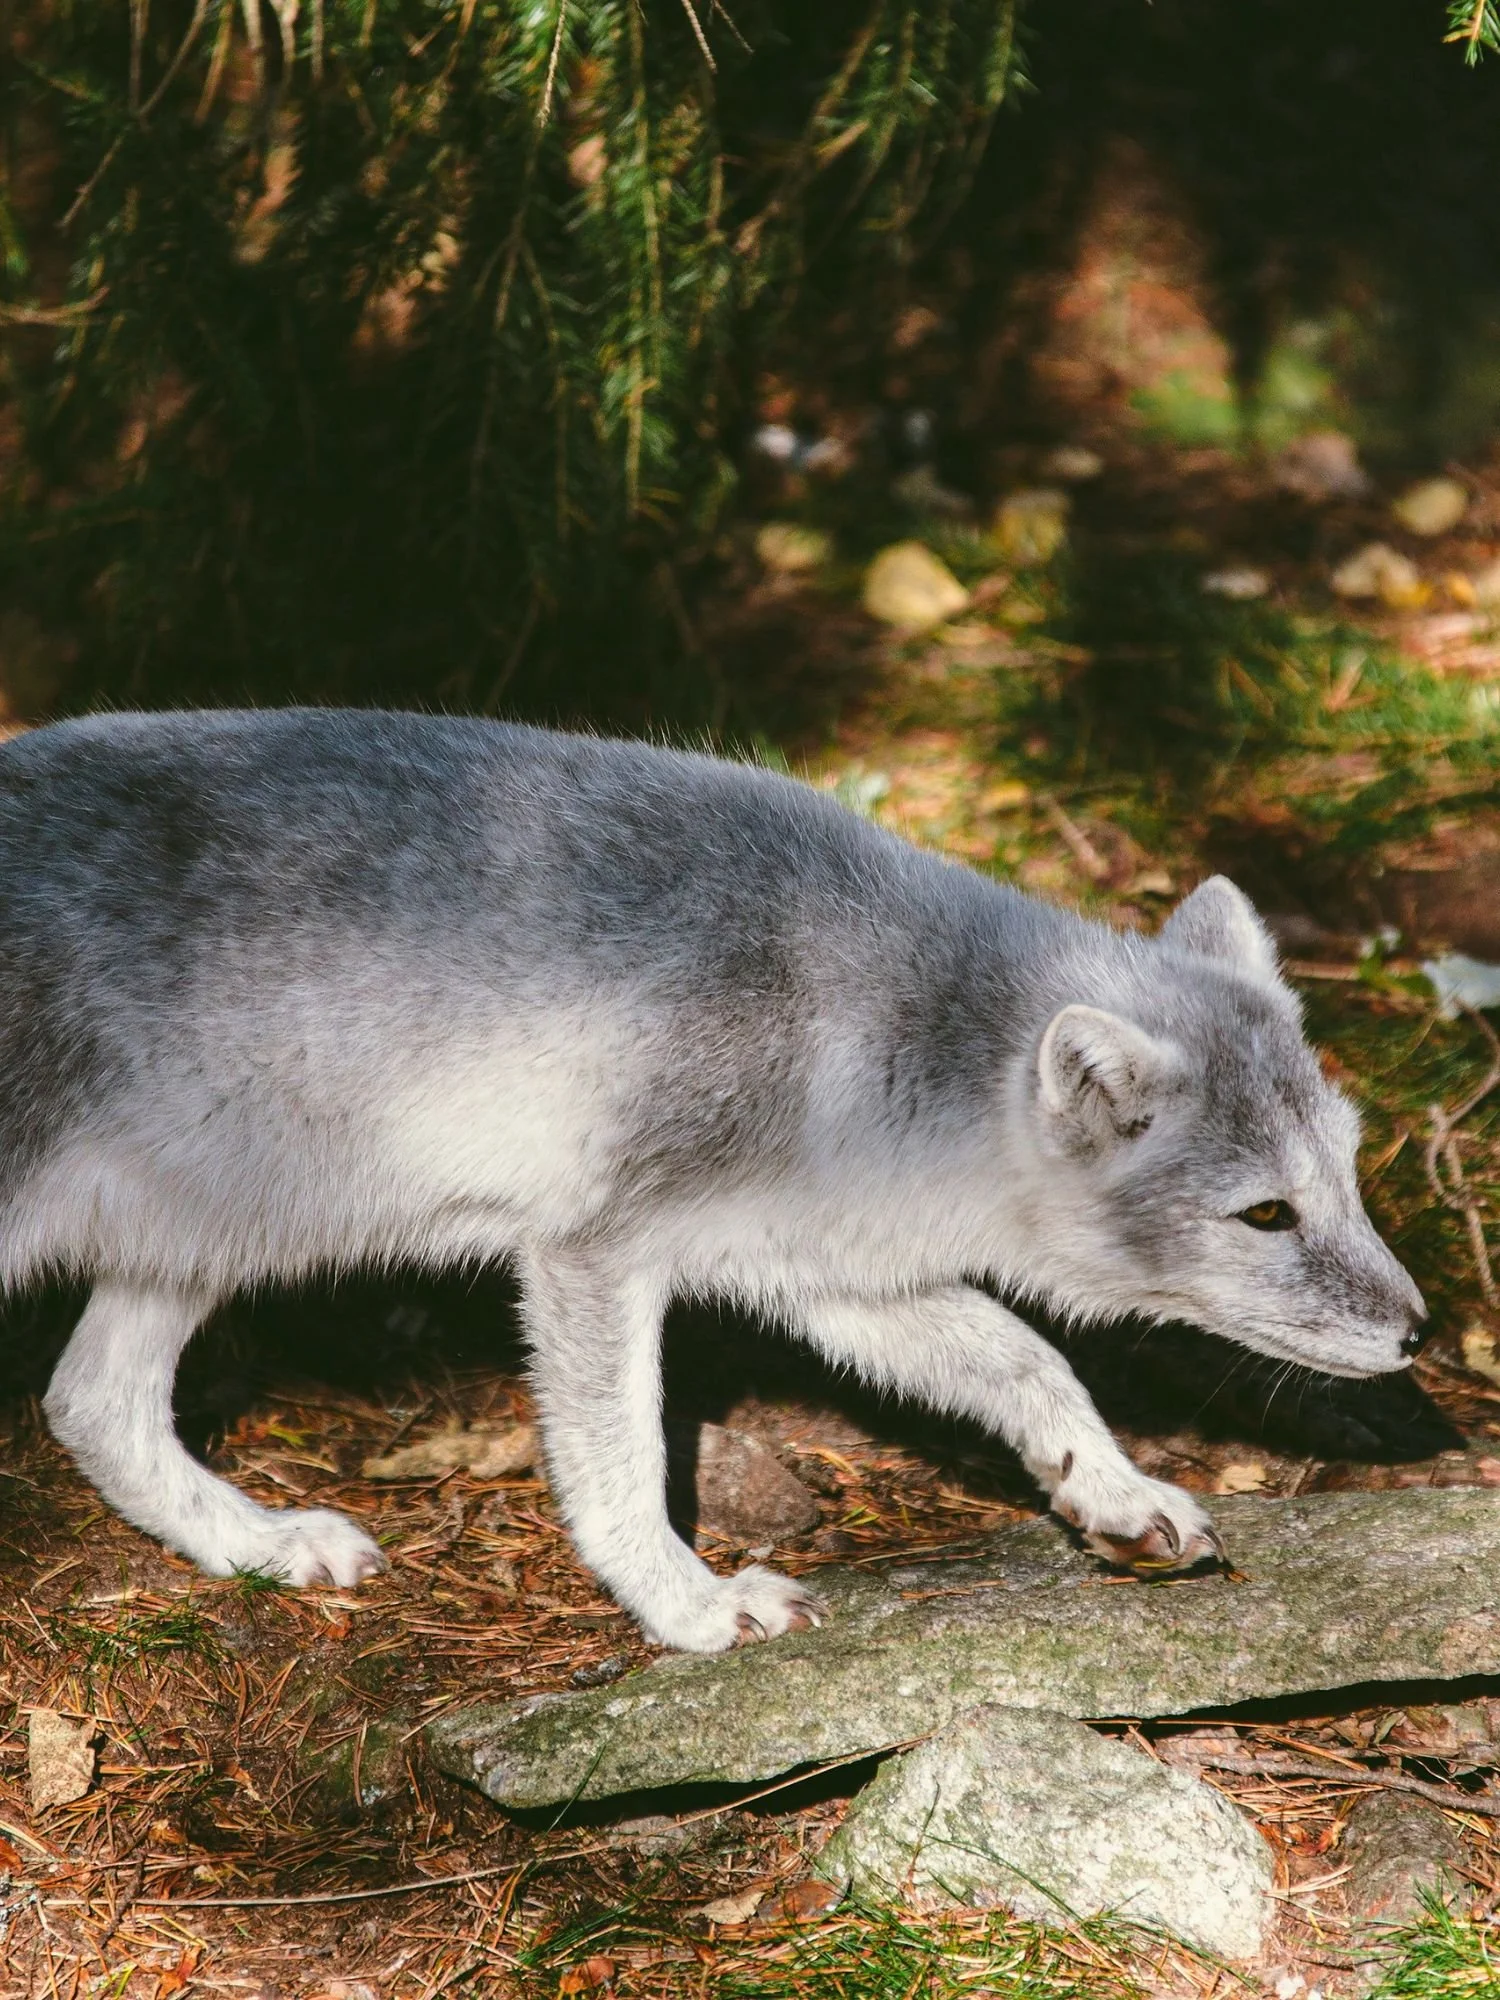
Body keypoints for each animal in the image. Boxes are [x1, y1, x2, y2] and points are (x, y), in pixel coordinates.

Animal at [0, 709, 1425, 1653]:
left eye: (1348, 1172)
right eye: (1266, 1212)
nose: (1420, 1332)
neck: (865, 1021)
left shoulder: (820, 1272)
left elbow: (1028, 1357)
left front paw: (1112, 1491)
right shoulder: (591, 1251)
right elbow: (622, 1463)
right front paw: (686, 1604)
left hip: (202, 1244)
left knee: (89, 1403)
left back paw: (260, 1543)